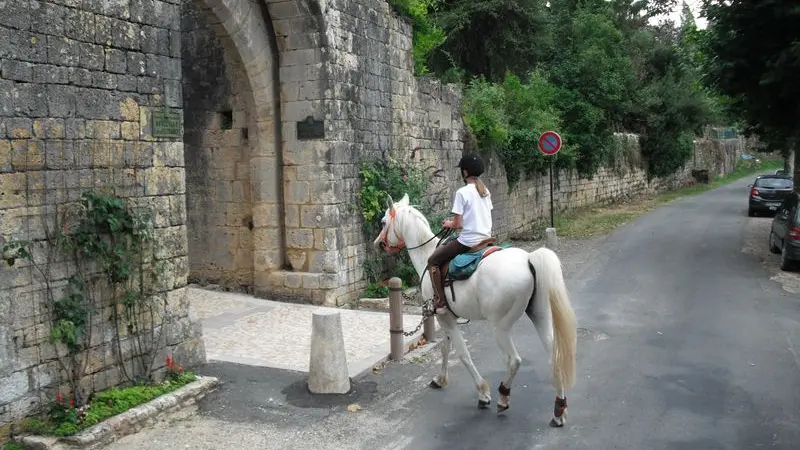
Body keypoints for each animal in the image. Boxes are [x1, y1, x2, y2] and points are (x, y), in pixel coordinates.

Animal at [372, 193, 580, 426]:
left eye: (383, 222)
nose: (378, 243)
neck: (427, 254)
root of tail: (528, 260)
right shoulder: (447, 318)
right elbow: (446, 348)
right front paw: (440, 379)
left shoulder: (445, 318)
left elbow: (463, 354)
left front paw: (483, 393)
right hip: (539, 316)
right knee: (555, 357)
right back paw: (559, 410)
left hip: (500, 328)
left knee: (514, 361)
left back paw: (503, 397)